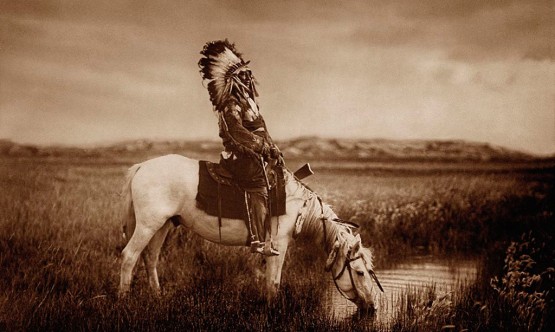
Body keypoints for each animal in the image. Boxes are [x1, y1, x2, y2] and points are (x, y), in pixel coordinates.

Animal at [120, 154, 382, 310]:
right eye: (360, 272)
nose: (373, 307)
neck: (299, 207)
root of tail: (141, 166)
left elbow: (268, 280)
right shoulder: (279, 244)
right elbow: (273, 282)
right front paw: (272, 311)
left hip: (162, 225)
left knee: (150, 258)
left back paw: (157, 297)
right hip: (147, 225)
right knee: (129, 257)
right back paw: (123, 300)